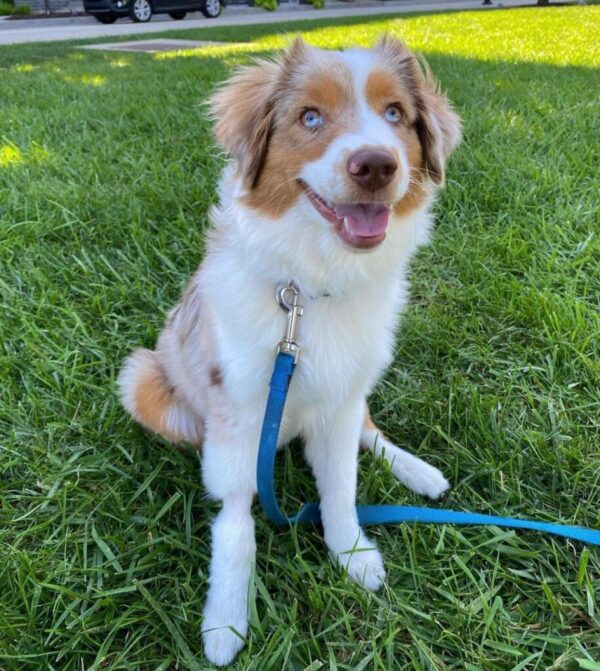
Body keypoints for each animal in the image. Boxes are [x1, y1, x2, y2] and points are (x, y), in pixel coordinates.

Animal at [119, 35, 462, 668]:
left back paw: (419, 473)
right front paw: (225, 621)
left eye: (395, 113)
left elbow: (341, 488)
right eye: (309, 117)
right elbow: (236, 518)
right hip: (142, 380)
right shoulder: (236, 411)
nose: (377, 165)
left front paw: (352, 554)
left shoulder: (341, 398)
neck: (309, 288)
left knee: (370, 432)